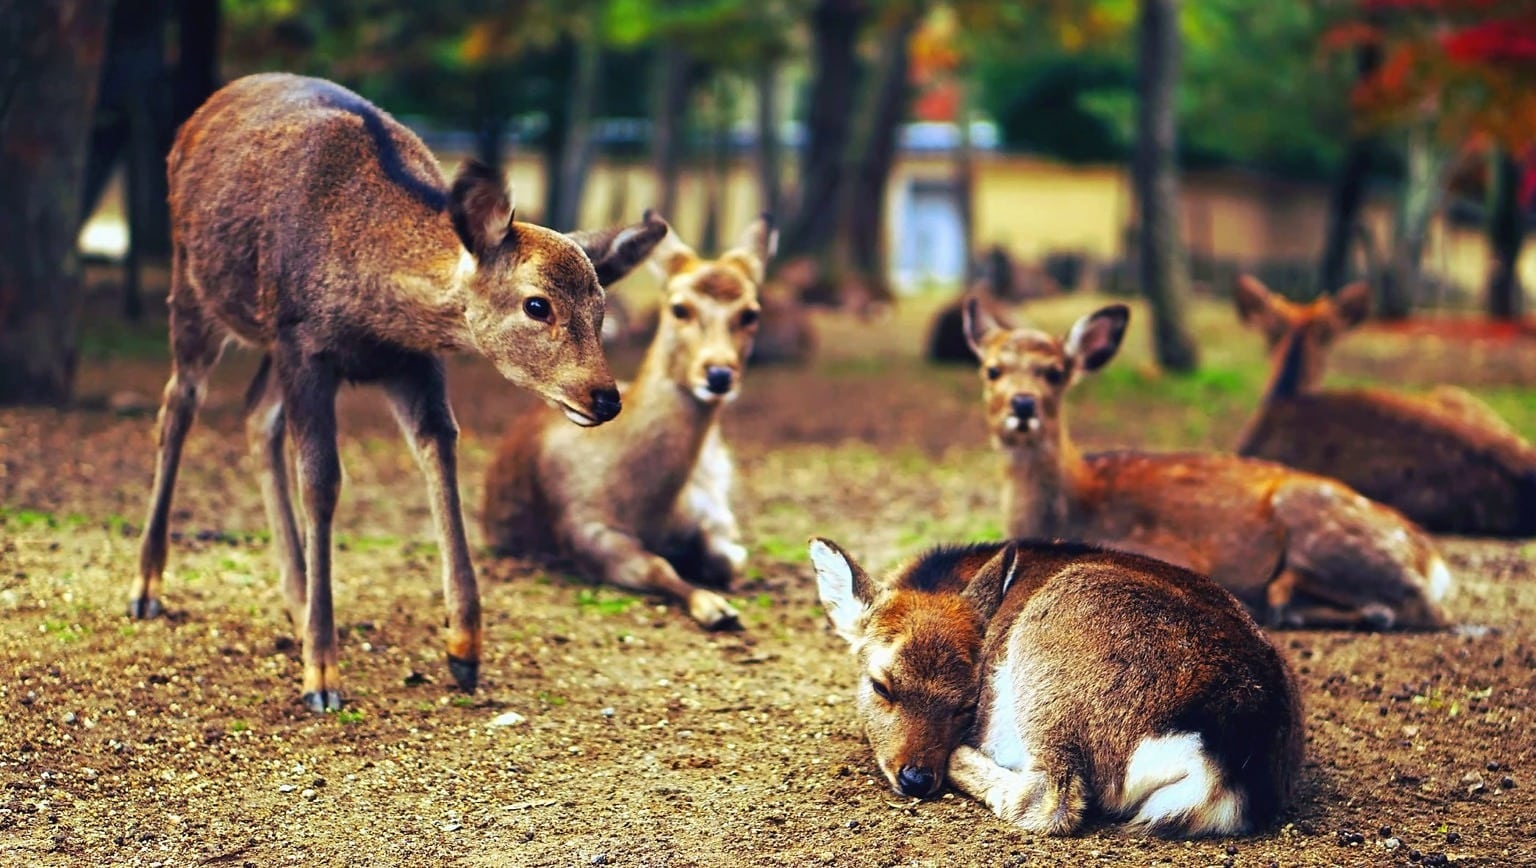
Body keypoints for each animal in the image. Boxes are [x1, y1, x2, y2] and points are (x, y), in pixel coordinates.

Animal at [125, 72, 666, 709]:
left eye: (602, 309)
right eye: (538, 305)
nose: (604, 396)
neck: (375, 310)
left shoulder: (411, 361)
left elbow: (441, 452)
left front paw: (464, 650)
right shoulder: (304, 343)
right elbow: (323, 483)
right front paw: (322, 674)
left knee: (256, 413)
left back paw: (297, 596)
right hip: (194, 286)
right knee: (179, 405)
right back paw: (147, 587)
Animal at [479, 213, 774, 626]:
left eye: (750, 312)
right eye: (679, 307)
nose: (718, 374)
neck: (650, 508)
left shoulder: (711, 510)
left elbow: (727, 558)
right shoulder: (584, 526)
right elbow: (656, 566)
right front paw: (716, 608)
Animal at [811, 537, 1302, 835]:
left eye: (967, 705)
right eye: (881, 686)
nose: (916, 777)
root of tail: (1225, 763)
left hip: (1053, 665)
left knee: (1051, 799)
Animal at [964, 298, 1456, 629]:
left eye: (1055, 372)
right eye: (992, 369)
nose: (1023, 404)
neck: (1073, 504)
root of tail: (1433, 561)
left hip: (1324, 530)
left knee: (1418, 608)